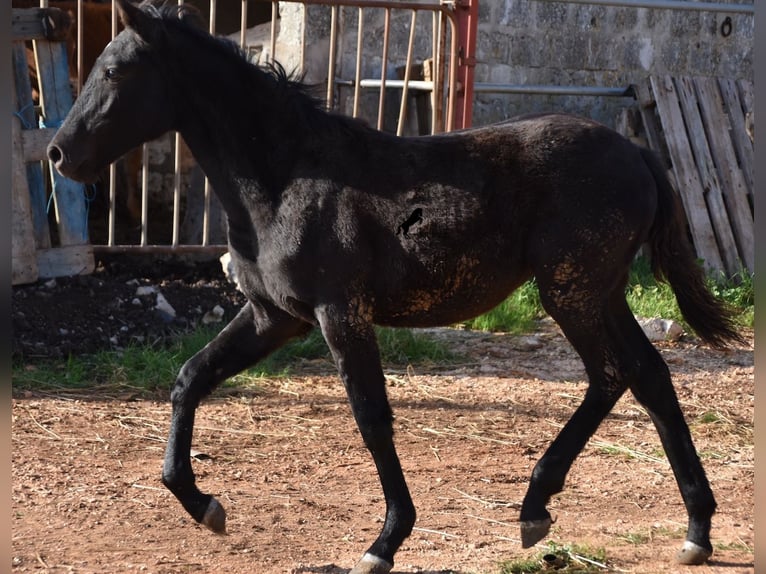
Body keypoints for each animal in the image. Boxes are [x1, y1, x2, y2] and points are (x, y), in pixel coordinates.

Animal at [48, 1, 744, 572]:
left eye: (116, 71)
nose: (59, 155)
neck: (287, 178)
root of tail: (640, 154)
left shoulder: (338, 314)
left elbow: (371, 416)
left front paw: (384, 542)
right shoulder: (275, 315)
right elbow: (190, 378)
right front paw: (204, 506)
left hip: (571, 291)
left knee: (612, 375)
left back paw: (541, 506)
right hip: (600, 293)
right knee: (647, 376)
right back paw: (690, 530)